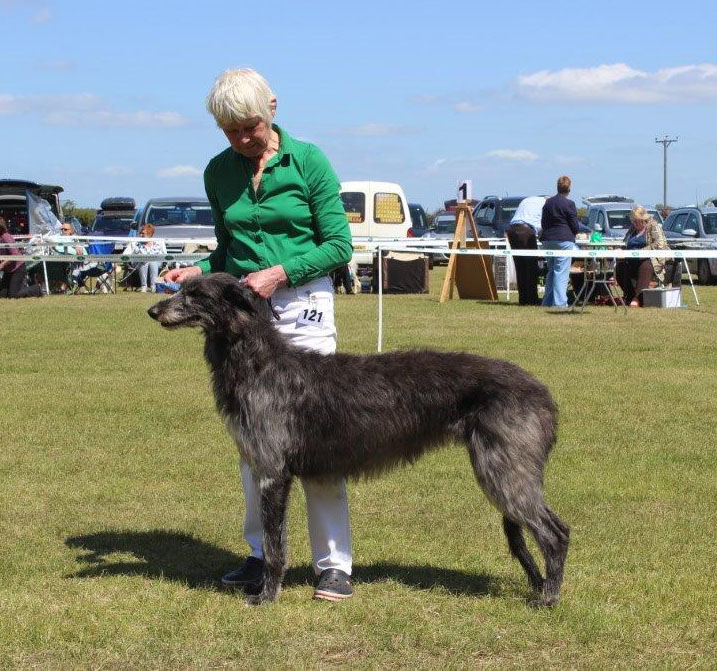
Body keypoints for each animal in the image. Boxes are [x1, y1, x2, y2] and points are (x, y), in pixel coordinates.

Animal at [147, 272, 572, 608]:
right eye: (180, 287)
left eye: (196, 294)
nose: (153, 311)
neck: (258, 362)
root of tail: (543, 393)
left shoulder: (272, 473)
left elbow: (272, 546)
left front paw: (266, 597)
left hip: (503, 470)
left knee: (556, 532)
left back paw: (549, 597)